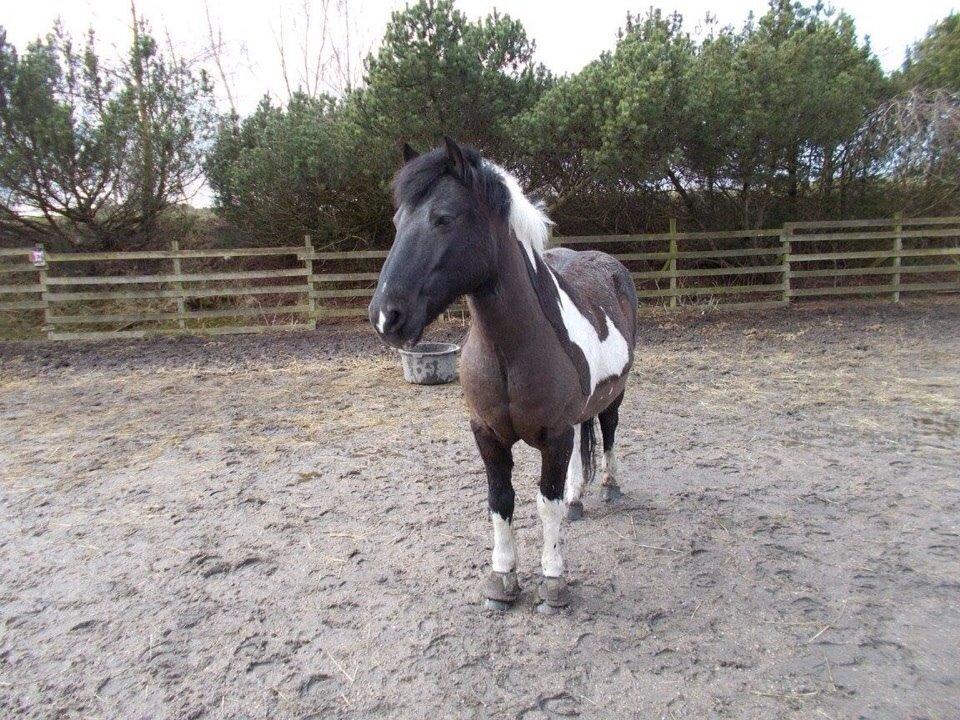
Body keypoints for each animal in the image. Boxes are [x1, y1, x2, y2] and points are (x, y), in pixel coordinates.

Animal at [369, 137, 637, 613]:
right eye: (397, 221)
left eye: (443, 218)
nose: (386, 317)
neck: (511, 350)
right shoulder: (488, 434)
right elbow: (501, 501)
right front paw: (502, 579)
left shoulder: (554, 435)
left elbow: (545, 503)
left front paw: (553, 583)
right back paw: (578, 500)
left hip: (614, 397)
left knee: (607, 432)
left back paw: (609, 487)